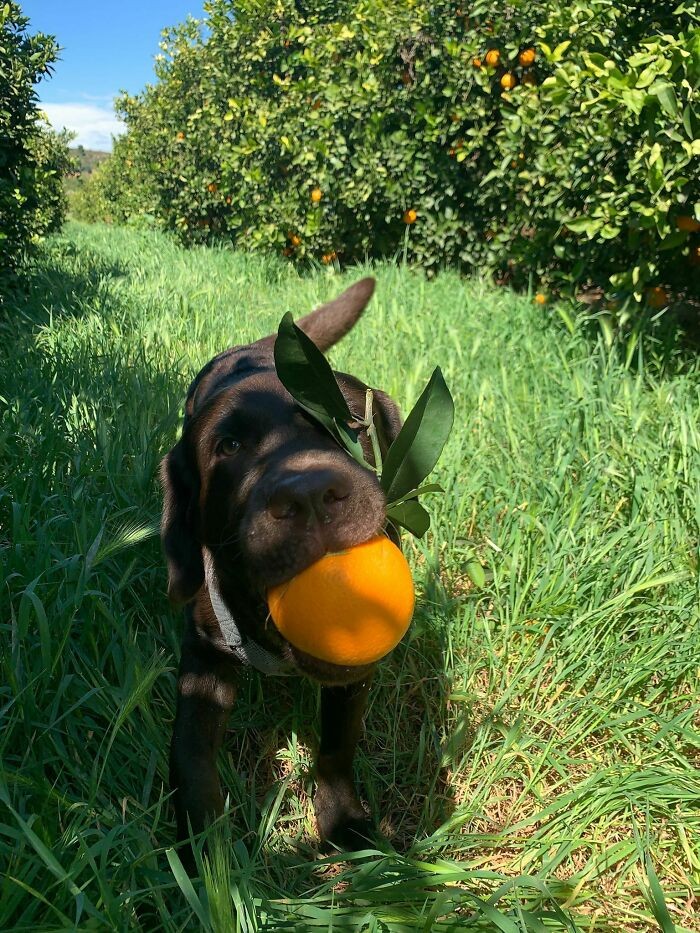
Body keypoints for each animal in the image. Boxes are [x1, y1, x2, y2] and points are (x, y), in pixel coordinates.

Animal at [159, 278, 402, 860]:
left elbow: (337, 747)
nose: (310, 494)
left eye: (351, 425)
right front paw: (202, 850)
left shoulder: (353, 677)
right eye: (228, 446)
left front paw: (343, 822)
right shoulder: (204, 657)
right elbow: (190, 754)